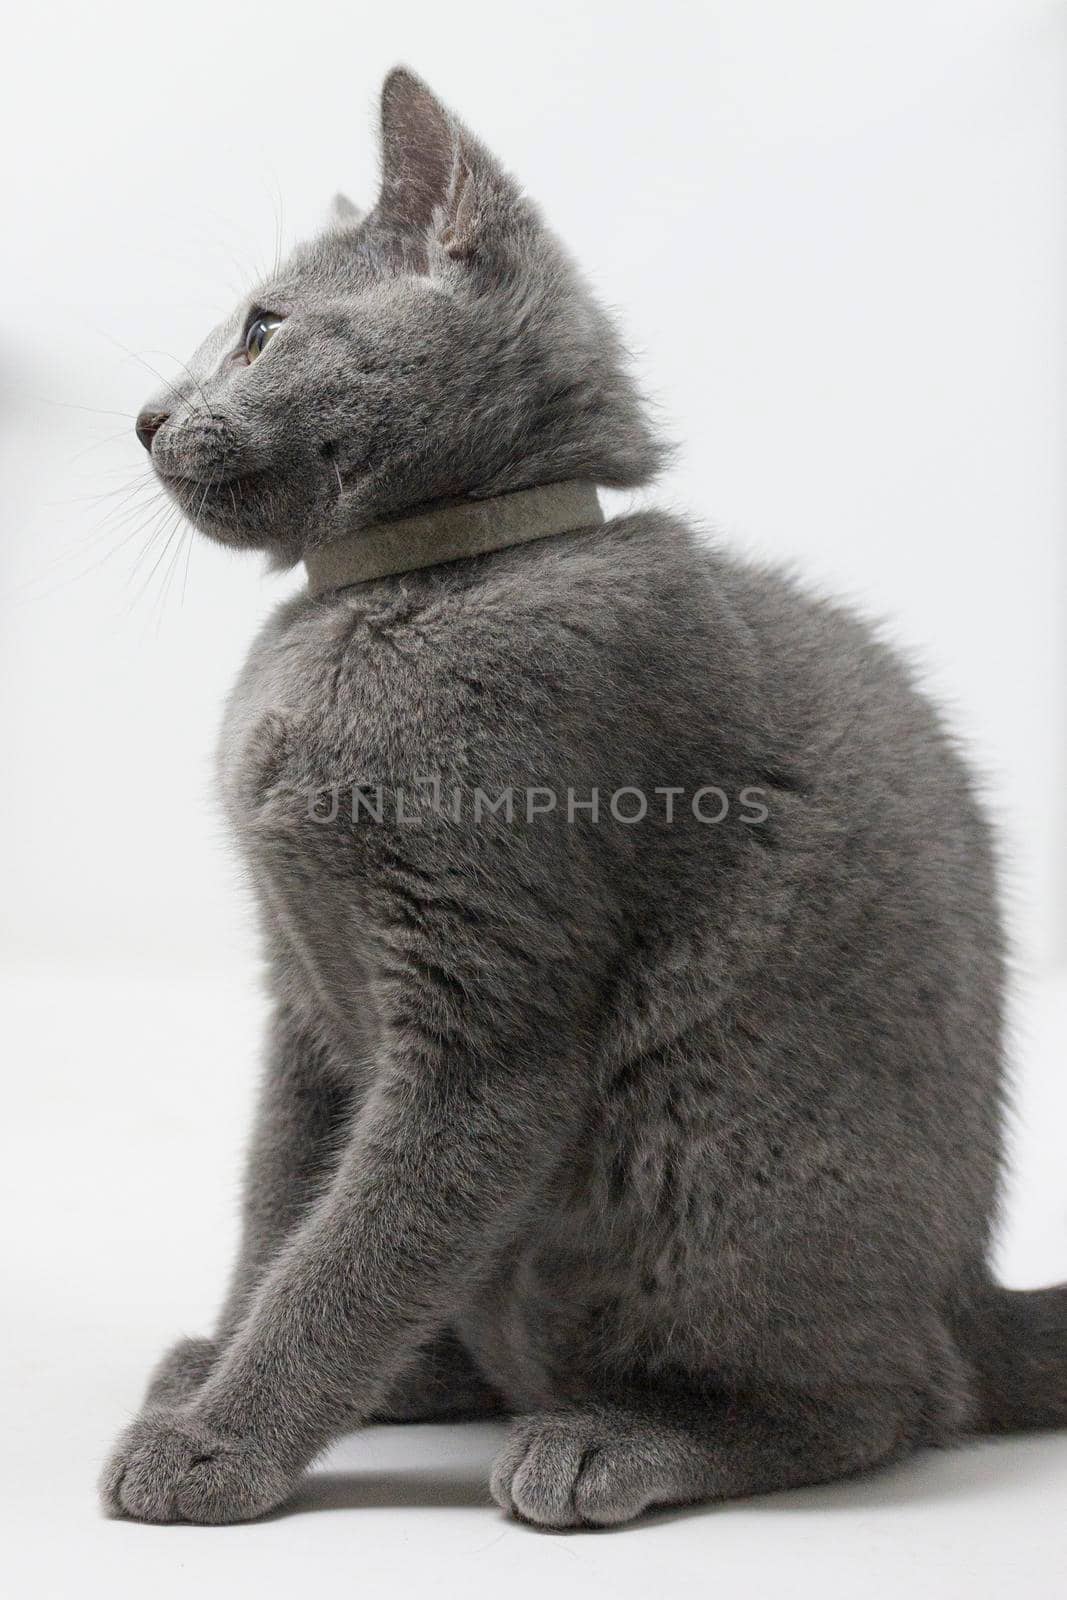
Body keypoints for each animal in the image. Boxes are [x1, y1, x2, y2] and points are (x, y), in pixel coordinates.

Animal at [99, 68, 1067, 1529]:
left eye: (262, 330)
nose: (150, 415)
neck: (395, 588)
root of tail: (968, 1294)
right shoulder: (301, 998)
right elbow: (282, 1201)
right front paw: (219, 1364)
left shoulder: (485, 1012)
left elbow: (352, 1252)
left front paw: (215, 1445)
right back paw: (423, 1381)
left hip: (699, 1143)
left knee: (885, 1404)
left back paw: (619, 1439)